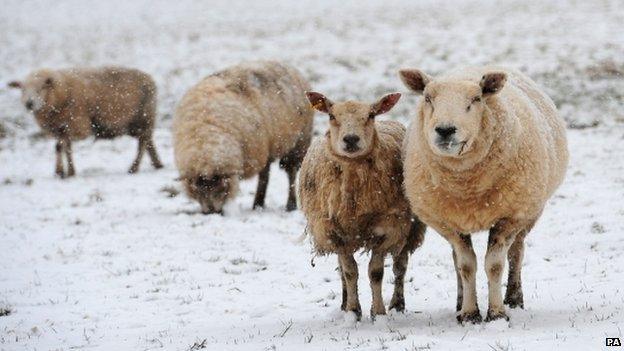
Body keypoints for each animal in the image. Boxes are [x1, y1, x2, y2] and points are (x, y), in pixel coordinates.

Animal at [7, 67, 163, 179]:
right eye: (22, 90)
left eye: (41, 88)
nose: (29, 103)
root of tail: (150, 79)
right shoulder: (62, 128)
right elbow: (64, 147)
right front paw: (68, 171)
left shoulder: (78, 127)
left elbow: (60, 146)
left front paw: (61, 172)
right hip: (139, 123)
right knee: (148, 141)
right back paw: (157, 164)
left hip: (142, 118)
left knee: (143, 143)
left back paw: (134, 168)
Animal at [172, 60, 312, 214]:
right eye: (197, 190)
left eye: (221, 187)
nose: (212, 212)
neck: (206, 136)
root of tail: (288, 67)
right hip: (267, 146)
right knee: (265, 174)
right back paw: (258, 204)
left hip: (298, 141)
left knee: (290, 172)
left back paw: (290, 205)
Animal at [296, 91, 424, 322]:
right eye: (331, 116)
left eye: (371, 115)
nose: (351, 139)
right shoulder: (334, 232)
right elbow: (349, 272)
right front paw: (353, 311)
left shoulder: (386, 229)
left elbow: (376, 273)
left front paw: (378, 313)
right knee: (342, 270)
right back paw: (344, 303)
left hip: (409, 229)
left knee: (400, 267)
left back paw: (397, 305)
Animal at [400, 66, 572, 324]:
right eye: (428, 98)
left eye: (476, 99)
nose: (445, 130)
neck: (466, 187)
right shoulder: (448, 223)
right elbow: (465, 265)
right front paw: (469, 313)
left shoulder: (509, 217)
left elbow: (495, 264)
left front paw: (497, 313)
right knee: (456, 260)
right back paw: (460, 301)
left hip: (529, 211)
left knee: (517, 253)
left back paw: (514, 298)